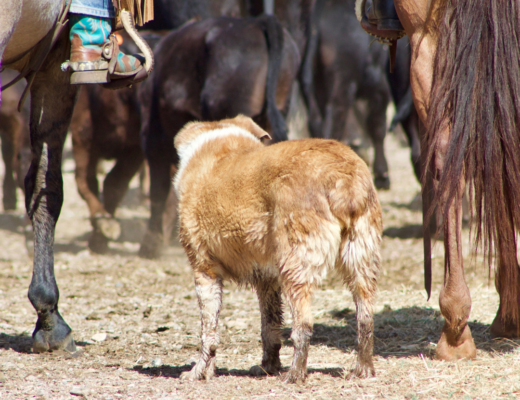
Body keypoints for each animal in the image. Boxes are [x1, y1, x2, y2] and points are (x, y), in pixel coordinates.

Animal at [175, 115, 382, 382]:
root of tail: (342, 174)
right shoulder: (267, 280)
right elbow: (270, 329)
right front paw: (267, 367)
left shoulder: (205, 271)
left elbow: (208, 334)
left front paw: (199, 372)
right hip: (361, 261)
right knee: (365, 320)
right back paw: (363, 369)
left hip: (295, 267)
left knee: (303, 326)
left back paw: (294, 375)